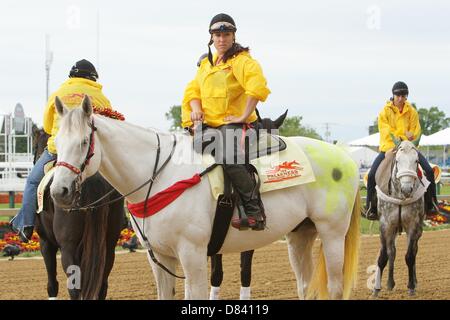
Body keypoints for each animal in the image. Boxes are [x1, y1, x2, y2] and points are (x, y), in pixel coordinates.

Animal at [32, 128, 125, 300]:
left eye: (35, 147)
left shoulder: (45, 242)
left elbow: (52, 284)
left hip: (68, 248)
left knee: (74, 289)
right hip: (108, 246)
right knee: (102, 285)